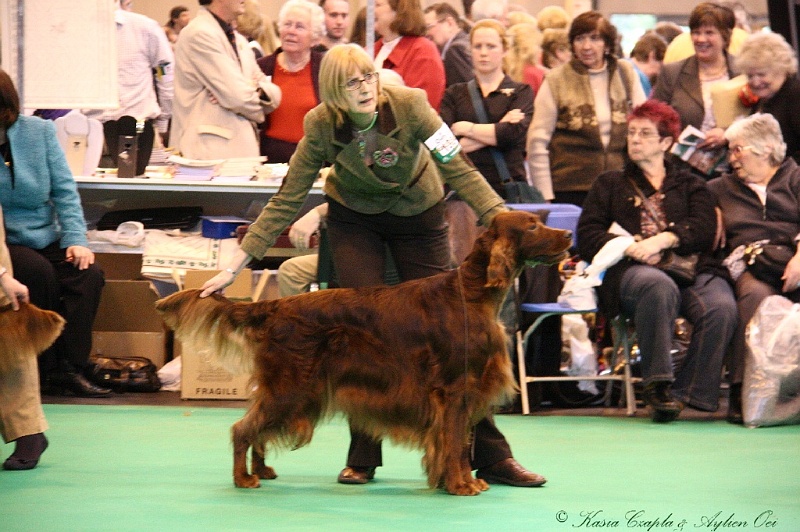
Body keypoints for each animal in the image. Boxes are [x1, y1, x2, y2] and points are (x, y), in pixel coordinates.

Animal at [156, 211, 568, 494]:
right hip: (293, 388)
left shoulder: (465, 392)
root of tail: (273, 307)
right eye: (532, 226)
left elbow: (459, 442)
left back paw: (262, 470)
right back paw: (243, 478)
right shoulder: (454, 390)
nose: (566, 234)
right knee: (242, 428)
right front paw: (460, 485)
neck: (470, 292)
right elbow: (453, 443)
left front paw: (461, 481)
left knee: (256, 426)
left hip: (293, 391)